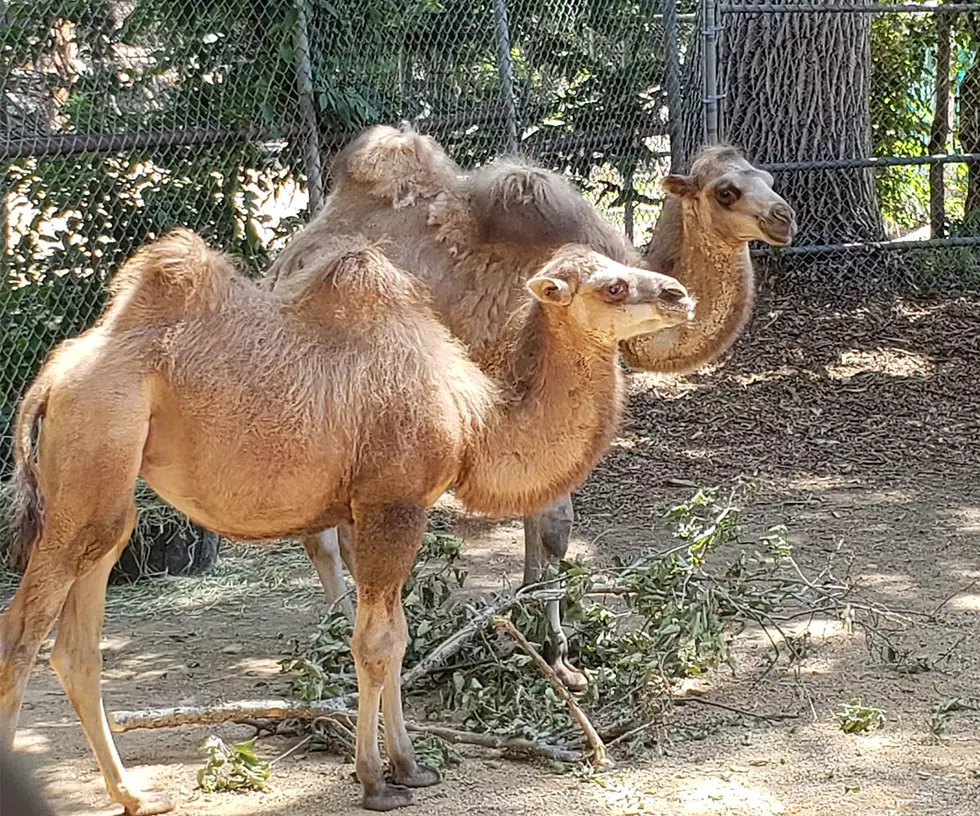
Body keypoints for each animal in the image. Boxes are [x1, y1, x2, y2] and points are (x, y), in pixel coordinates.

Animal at [0, 226, 692, 812]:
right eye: (612, 286)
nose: (679, 294)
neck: (473, 423)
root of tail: (53, 376)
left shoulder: (367, 509)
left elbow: (400, 634)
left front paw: (412, 766)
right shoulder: (394, 503)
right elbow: (376, 643)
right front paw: (375, 782)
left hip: (104, 500)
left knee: (78, 646)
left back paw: (137, 794)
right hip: (91, 459)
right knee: (21, 635)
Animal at [266, 124, 796, 692]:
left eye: (767, 176)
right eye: (726, 191)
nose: (784, 217)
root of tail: (285, 264)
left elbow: (534, 513)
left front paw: (525, 619)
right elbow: (555, 526)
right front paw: (559, 657)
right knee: (323, 531)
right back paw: (340, 643)